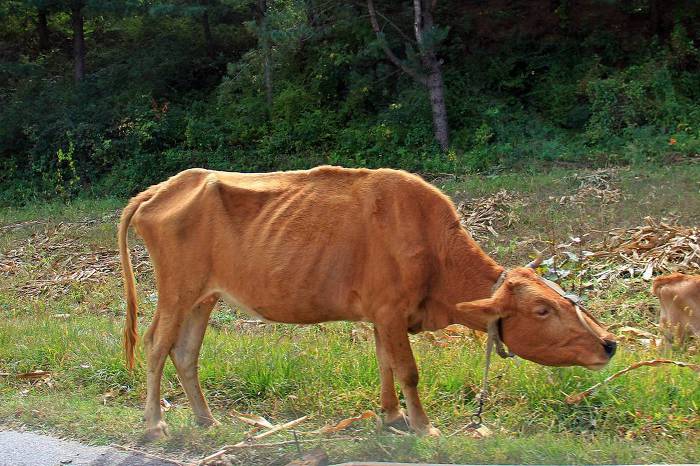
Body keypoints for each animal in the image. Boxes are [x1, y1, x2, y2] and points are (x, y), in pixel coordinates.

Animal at [120, 167, 616, 440]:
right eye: (542, 310)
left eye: (562, 299)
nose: (609, 343)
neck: (433, 250)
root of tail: (162, 188)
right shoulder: (392, 310)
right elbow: (409, 370)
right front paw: (423, 426)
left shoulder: (381, 315)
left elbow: (385, 364)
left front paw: (391, 417)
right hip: (176, 291)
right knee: (156, 346)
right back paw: (154, 424)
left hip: (204, 297)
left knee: (186, 353)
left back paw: (205, 420)